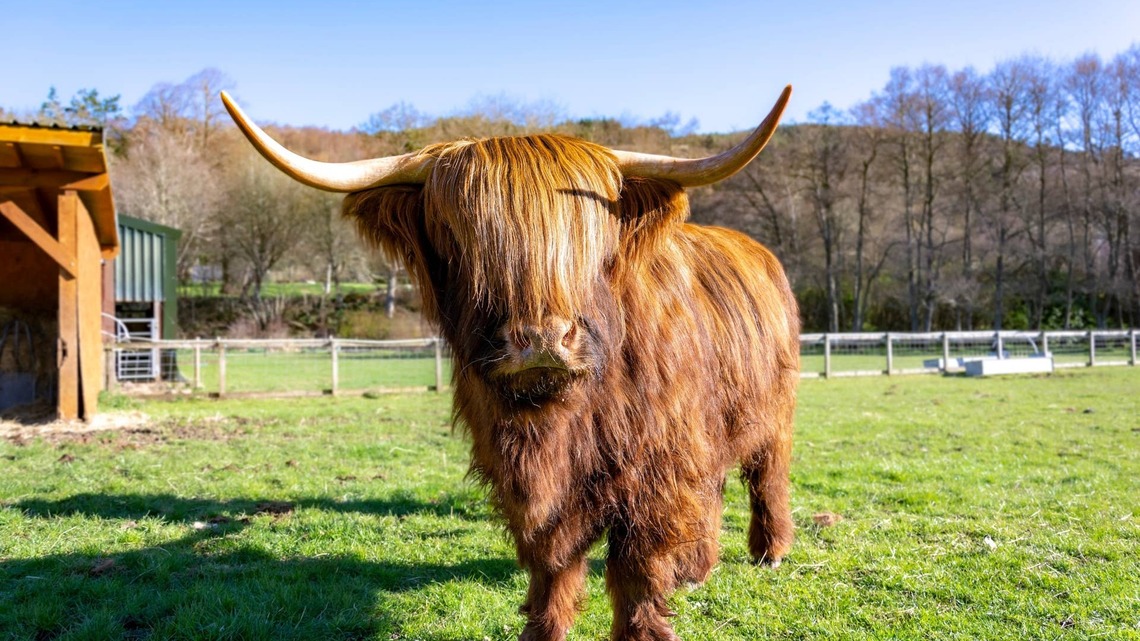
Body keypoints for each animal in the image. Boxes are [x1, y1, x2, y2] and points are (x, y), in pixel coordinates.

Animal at [222, 86, 799, 641]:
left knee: (766, 475)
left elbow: (636, 571)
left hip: (773, 415)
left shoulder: (658, 468)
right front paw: (543, 627)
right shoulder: (523, 476)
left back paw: (768, 552)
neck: (562, 422)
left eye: (592, 232)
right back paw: (698, 569)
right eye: (456, 233)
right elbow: (551, 562)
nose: (542, 340)